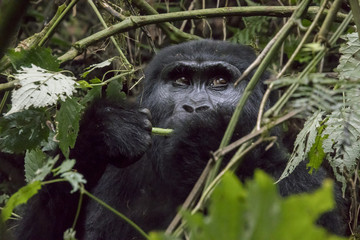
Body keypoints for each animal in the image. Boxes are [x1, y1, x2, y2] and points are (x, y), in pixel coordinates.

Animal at [15, 40, 348, 239]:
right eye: (182, 80)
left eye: (219, 82)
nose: (195, 107)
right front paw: (101, 130)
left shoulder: (302, 183)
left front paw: (206, 138)